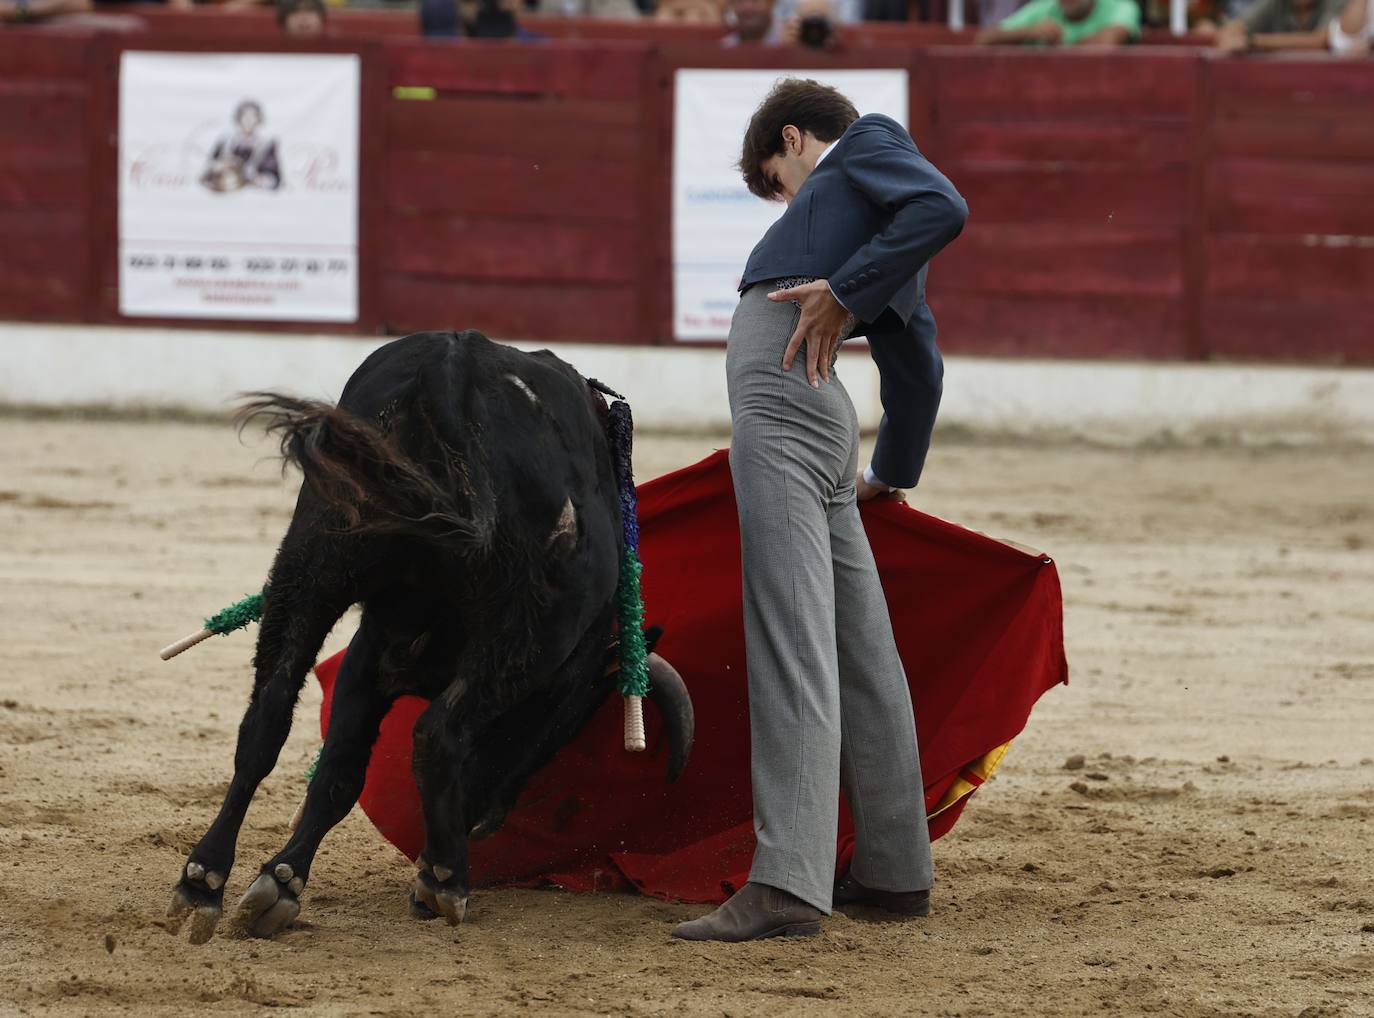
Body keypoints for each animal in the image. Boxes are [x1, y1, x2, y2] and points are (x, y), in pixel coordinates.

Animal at [164, 329, 692, 939]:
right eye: (561, 726)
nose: (489, 822)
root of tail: (456, 360)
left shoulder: (370, 653)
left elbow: (339, 772)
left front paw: (281, 881)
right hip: (528, 634)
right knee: (438, 735)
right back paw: (446, 879)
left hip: (310, 564)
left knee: (265, 719)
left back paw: (202, 881)